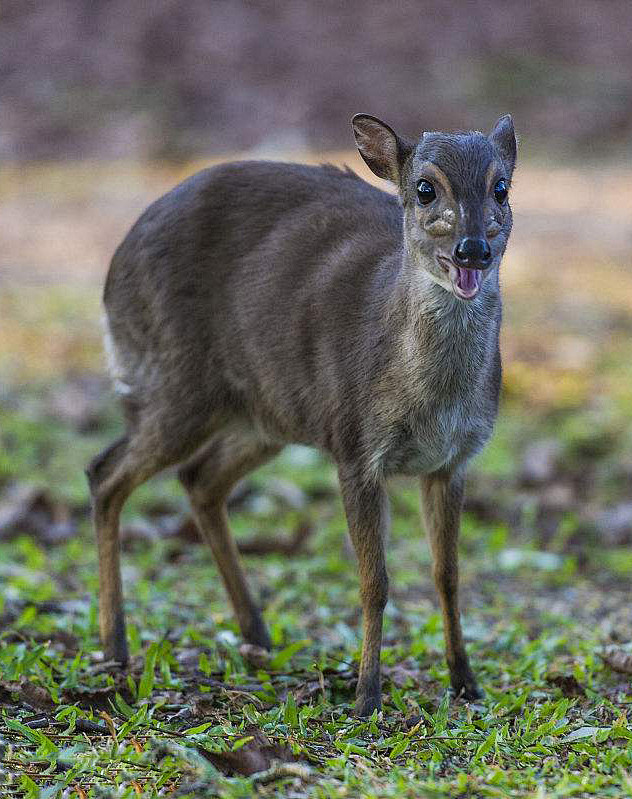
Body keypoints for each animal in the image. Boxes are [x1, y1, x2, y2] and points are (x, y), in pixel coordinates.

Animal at [87, 112, 512, 720]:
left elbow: (448, 575)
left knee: (199, 478)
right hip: (176, 386)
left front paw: (466, 682)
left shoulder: (453, 460)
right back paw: (116, 645)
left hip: (266, 413)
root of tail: (111, 274)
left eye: (500, 187)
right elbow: (374, 581)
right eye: (425, 188)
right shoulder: (355, 446)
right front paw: (366, 697)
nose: (473, 249)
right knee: (106, 472)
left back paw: (256, 632)